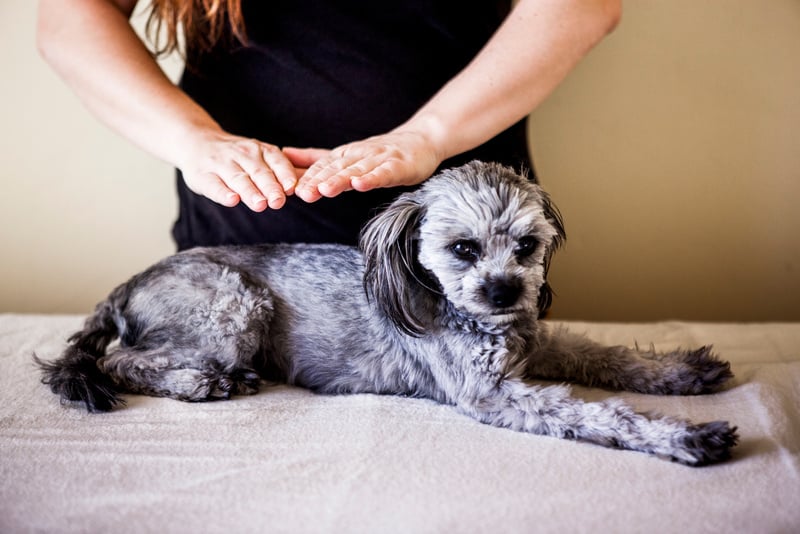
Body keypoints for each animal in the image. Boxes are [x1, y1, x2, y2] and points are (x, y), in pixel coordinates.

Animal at [37, 161, 736, 466]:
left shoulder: (537, 343)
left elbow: (604, 354)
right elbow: (601, 413)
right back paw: (202, 381)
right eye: (463, 249)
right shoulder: (492, 393)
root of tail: (125, 287)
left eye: (527, 246)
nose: (506, 293)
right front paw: (683, 436)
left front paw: (680, 373)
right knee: (123, 360)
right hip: (235, 306)